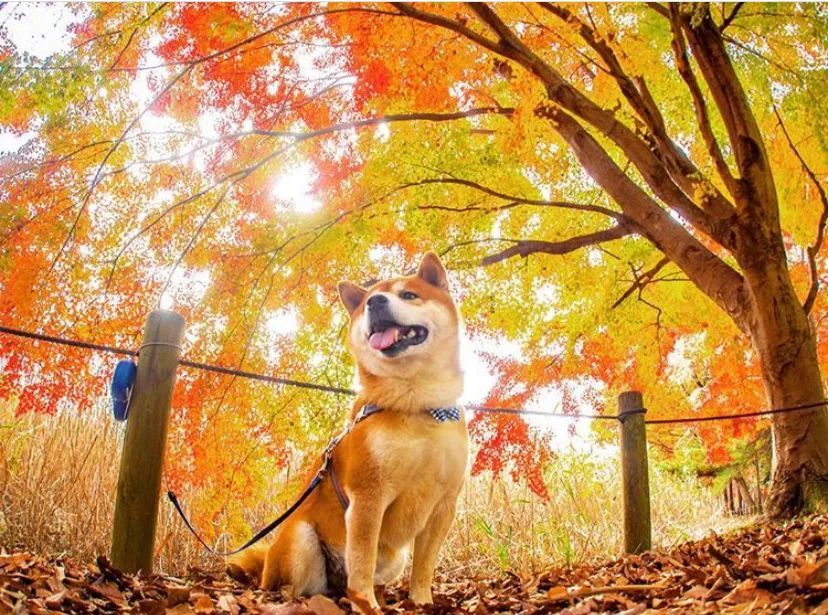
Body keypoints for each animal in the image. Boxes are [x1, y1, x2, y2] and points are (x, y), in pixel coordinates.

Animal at [226, 250, 468, 612]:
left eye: (409, 295)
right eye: (367, 301)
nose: (376, 302)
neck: (416, 404)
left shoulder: (444, 504)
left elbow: (424, 567)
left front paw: (422, 602)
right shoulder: (368, 497)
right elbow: (362, 561)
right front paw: (367, 605)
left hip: (393, 558)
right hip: (301, 538)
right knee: (295, 586)